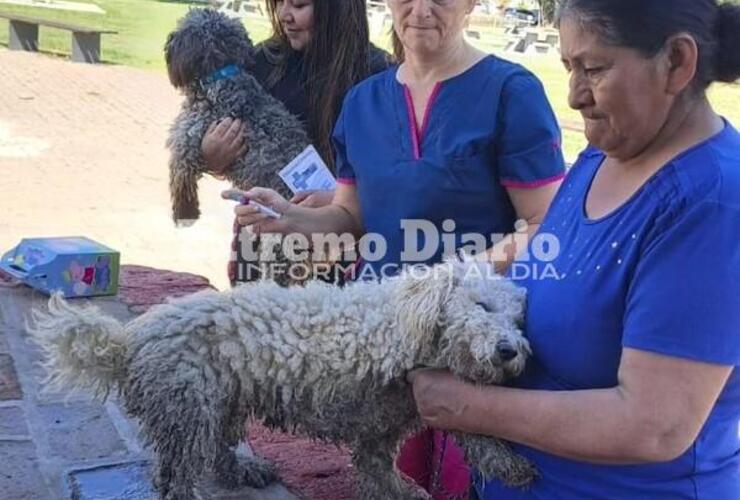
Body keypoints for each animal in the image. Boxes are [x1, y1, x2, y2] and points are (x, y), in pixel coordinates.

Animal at [30, 260, 536, 498]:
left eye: (518, 321)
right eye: (481, 306)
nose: (508, 351)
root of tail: (129, 341)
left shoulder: (388, 418)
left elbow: (391, 459)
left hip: (221, 403)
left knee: (215, 451)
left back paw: (244, 469)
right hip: (188, 406)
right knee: (177, 472)